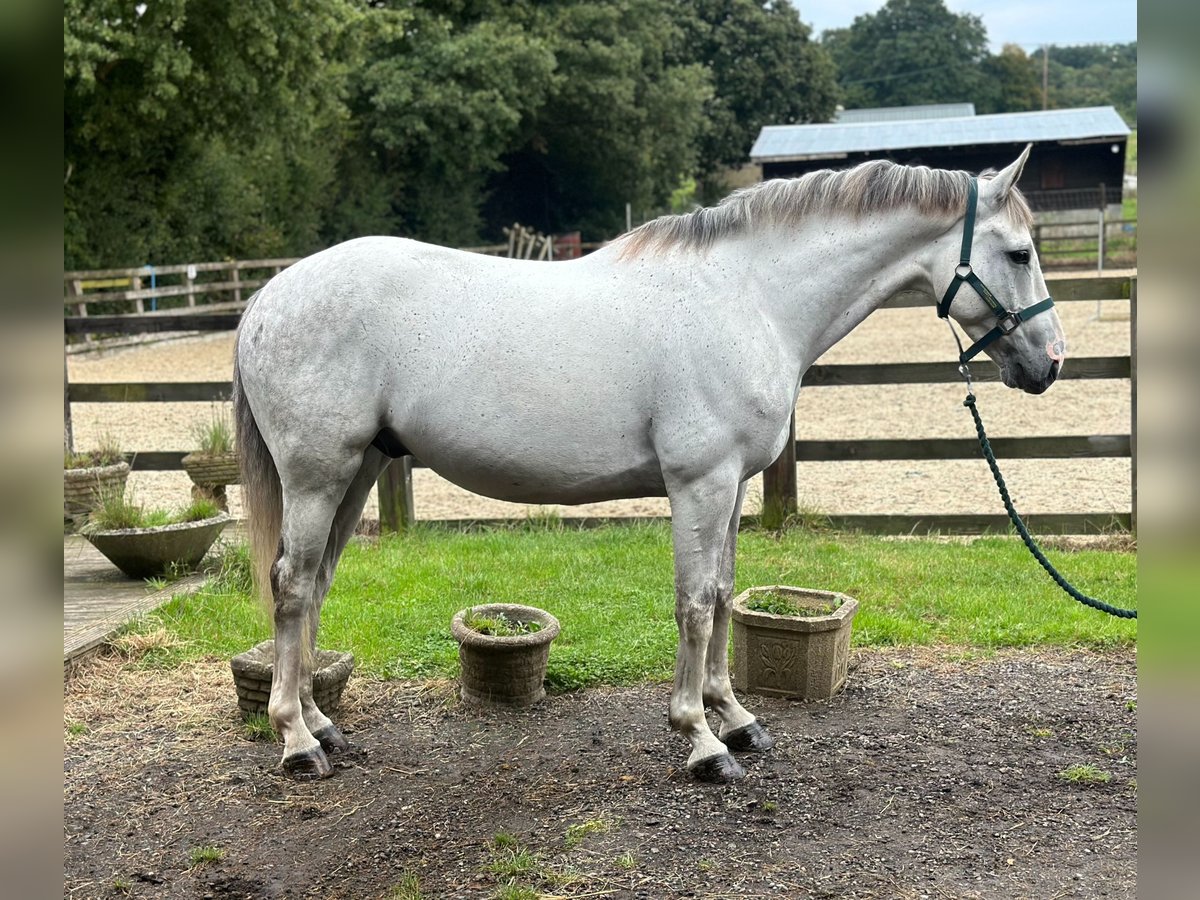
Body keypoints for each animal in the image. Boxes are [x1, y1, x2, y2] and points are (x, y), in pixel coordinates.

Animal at [231, 146, 1060, 782]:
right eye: (1018, 253)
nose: (1050, 363)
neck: (752, 297)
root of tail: (267, 298)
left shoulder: (734, 485)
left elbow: (722, 595)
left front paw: (737, 718)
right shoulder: (701, 482)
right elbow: (693, 604)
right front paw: (700, 740)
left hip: (359, 471)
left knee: (314, 585)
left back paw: (319, 723)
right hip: (318, 475)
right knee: (293, 585)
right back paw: (297, 741)